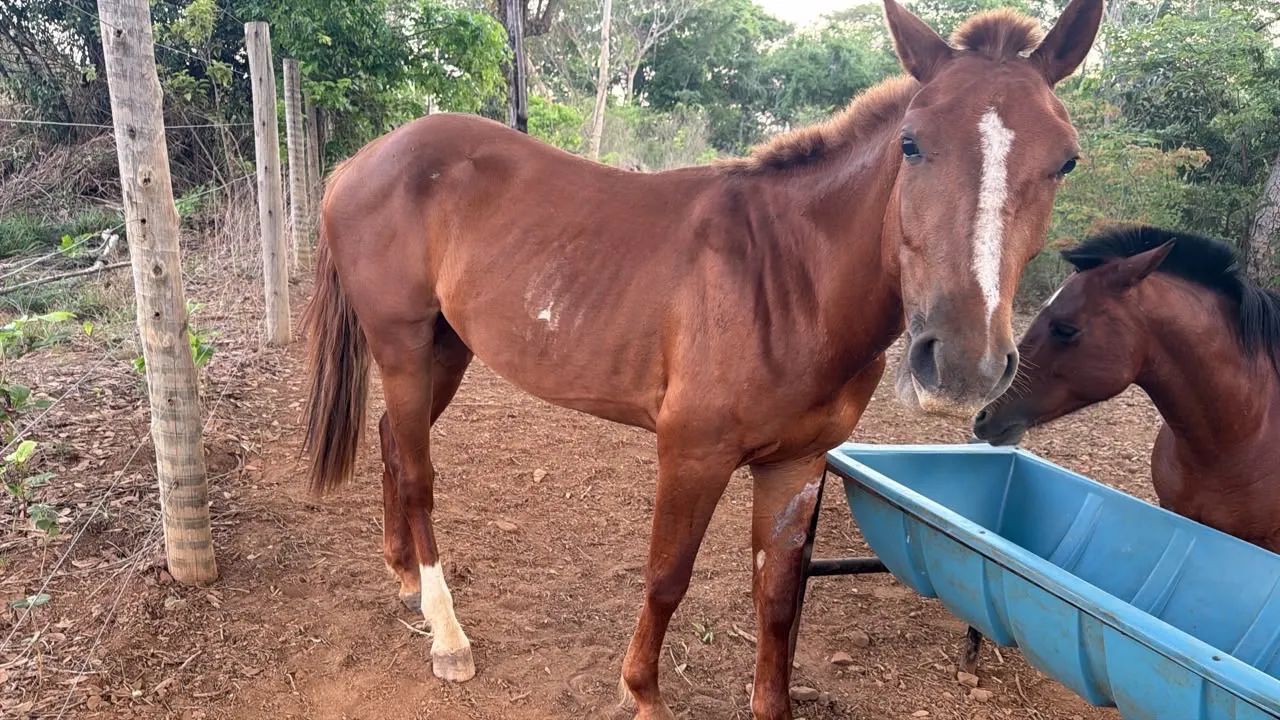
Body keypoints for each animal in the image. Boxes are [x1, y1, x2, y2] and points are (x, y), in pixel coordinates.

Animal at [301, 1, 1103, 717]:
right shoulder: (691, 453)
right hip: (402, 344)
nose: (964, 362)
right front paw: (641, 693)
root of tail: (359, 163)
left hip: (447, 348)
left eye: (1065, 160)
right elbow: (666, 577)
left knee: (392, 444)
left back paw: (405, 577)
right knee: (418, 475)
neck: (790, 276)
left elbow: (777, 598)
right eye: (911, 143)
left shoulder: (796, 467)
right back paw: (448, 636)